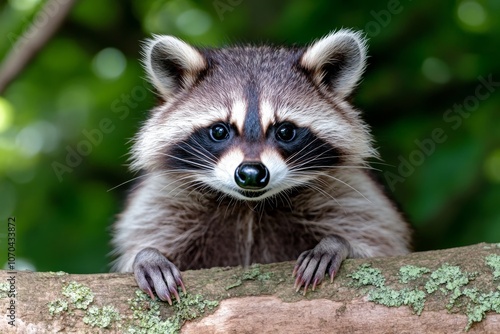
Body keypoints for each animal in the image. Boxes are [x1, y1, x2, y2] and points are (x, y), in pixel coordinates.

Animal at [111, 30, 412, 304]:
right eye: (219, 131)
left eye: (285, 131)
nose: (251, 174)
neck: (250, 207)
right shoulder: (164, 201)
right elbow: (148, 233)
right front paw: (148, 256)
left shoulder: (351, 194)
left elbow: (379, 242)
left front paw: (338, 244)